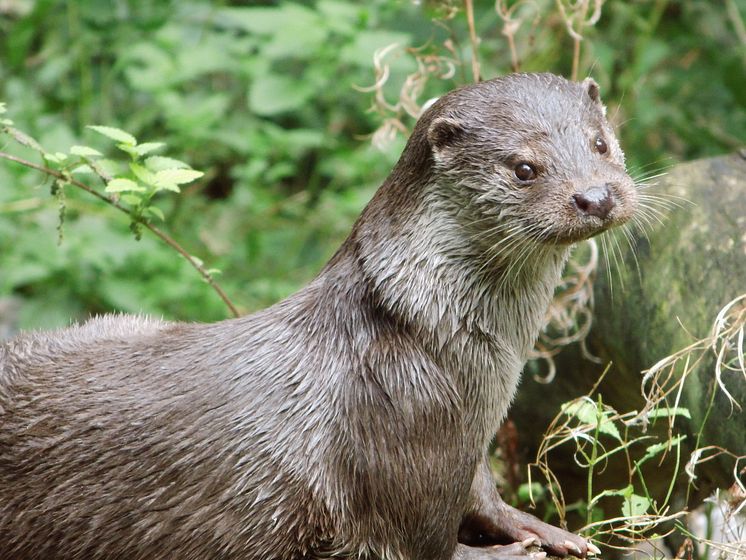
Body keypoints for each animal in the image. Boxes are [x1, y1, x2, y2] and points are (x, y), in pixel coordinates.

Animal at [1, 72, 632, 556]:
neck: (425, 339)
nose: (596, 196)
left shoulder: (463, 450)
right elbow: (416, 545)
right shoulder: (400, 443)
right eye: (523, 168)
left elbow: (483, 497)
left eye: (600, 143)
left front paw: (545, 530)